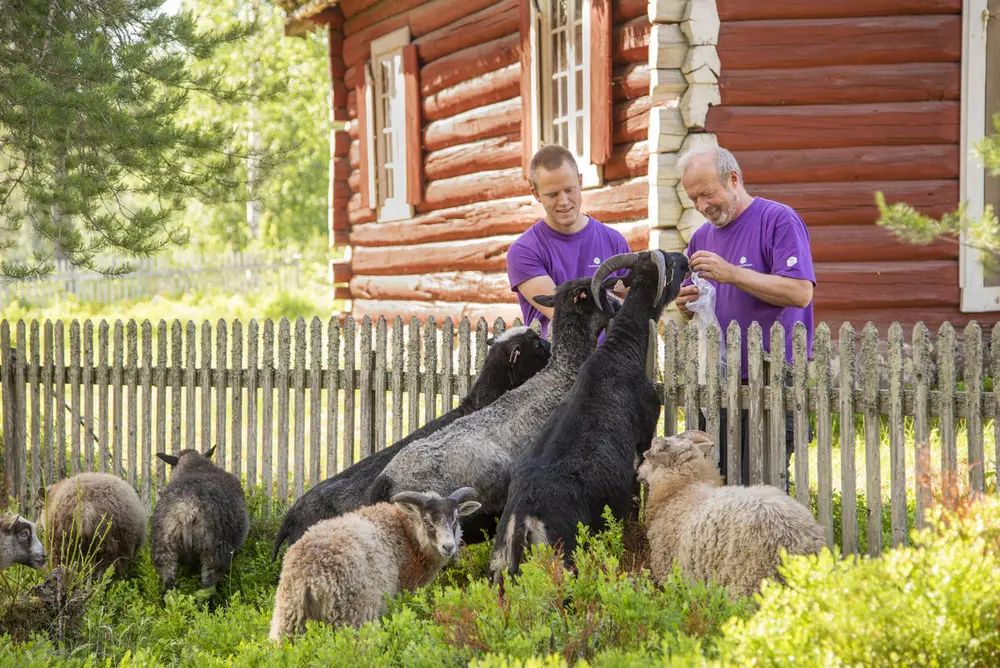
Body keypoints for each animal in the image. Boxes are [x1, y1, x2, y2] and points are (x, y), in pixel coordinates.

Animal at [149, 444, 249, 604]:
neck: (196, 467)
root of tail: (187, 512)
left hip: (164, 549)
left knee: (167, 588)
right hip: (214, 553)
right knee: (207, 590)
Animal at [270, 488, 480, 640]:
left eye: (456, 519)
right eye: (427, 521)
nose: (448, 546)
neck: (406, 532)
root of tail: (311, 579)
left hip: (289, 617)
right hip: (355, 616)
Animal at [636, 430, 824, 596]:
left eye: (650, 457)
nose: (637, 471)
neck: (682, 489)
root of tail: (799, 540)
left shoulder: (667, 570)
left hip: (751, 580)